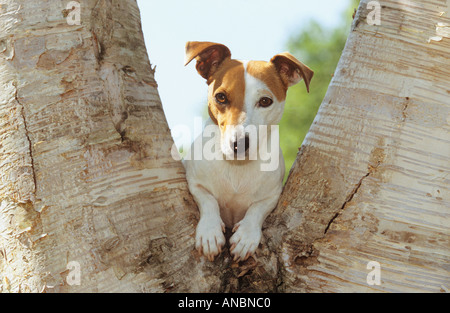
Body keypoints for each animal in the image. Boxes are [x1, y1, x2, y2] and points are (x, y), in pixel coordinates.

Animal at [181, 41, 312, 260]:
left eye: (265, 101)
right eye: (221, 97)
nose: (239, 143)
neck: (238, 166)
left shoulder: (273, 195)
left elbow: (257, 209)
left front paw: (246, 236)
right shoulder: (195, 183)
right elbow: (208, 200)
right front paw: (209, 232)